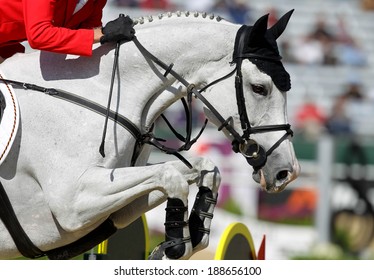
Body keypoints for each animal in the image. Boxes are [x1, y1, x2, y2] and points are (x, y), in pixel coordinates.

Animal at [0, 10, 298, 260]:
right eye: (259, 88)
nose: (287, 172)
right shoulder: (73, 204)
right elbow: (171, 176)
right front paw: (177, 245)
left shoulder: (113, 207)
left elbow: (204, 168)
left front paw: (193, 233)